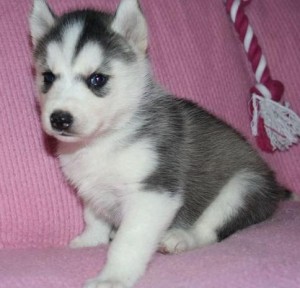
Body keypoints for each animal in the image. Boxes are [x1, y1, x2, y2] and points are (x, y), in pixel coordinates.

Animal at [29, 0, 286, 288]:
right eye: (48, 77)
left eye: (97, 79)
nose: (59, 118)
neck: (103, 140)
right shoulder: (91, 186)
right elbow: (93, 216)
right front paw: (91, 239)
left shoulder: (154, 192)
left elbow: (128, 241)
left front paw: (113, 277)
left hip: (243, 187)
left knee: (210, 229)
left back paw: (181, 237)